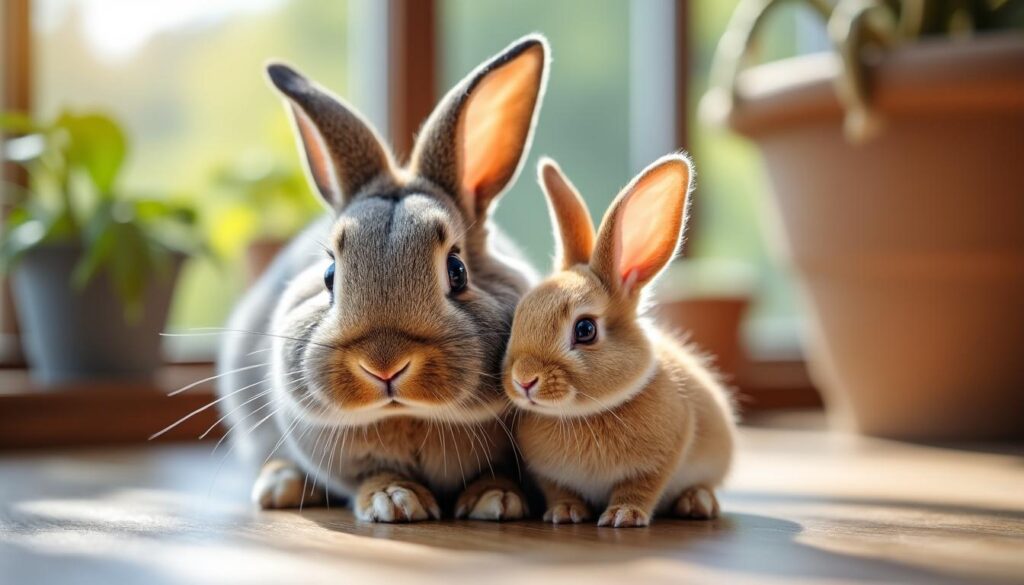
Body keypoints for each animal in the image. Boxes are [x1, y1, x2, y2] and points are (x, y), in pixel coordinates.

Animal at [215, 34, 550, 523]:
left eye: (457, 271)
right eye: (330, 275)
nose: (385, 364)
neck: (407, 415)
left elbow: (496, 474)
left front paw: (496, 500)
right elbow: (369, 476)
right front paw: (395, 500)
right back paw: (280, 485)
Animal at [502, 155, 737, 528]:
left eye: (585, 329)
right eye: (519, 315)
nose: (524, 380)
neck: (583, 414)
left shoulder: (662, 456)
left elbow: (640, 487)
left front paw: (622, 516)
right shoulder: (547, 475)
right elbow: (559, 490)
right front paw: (564, 513)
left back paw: (697, 503)